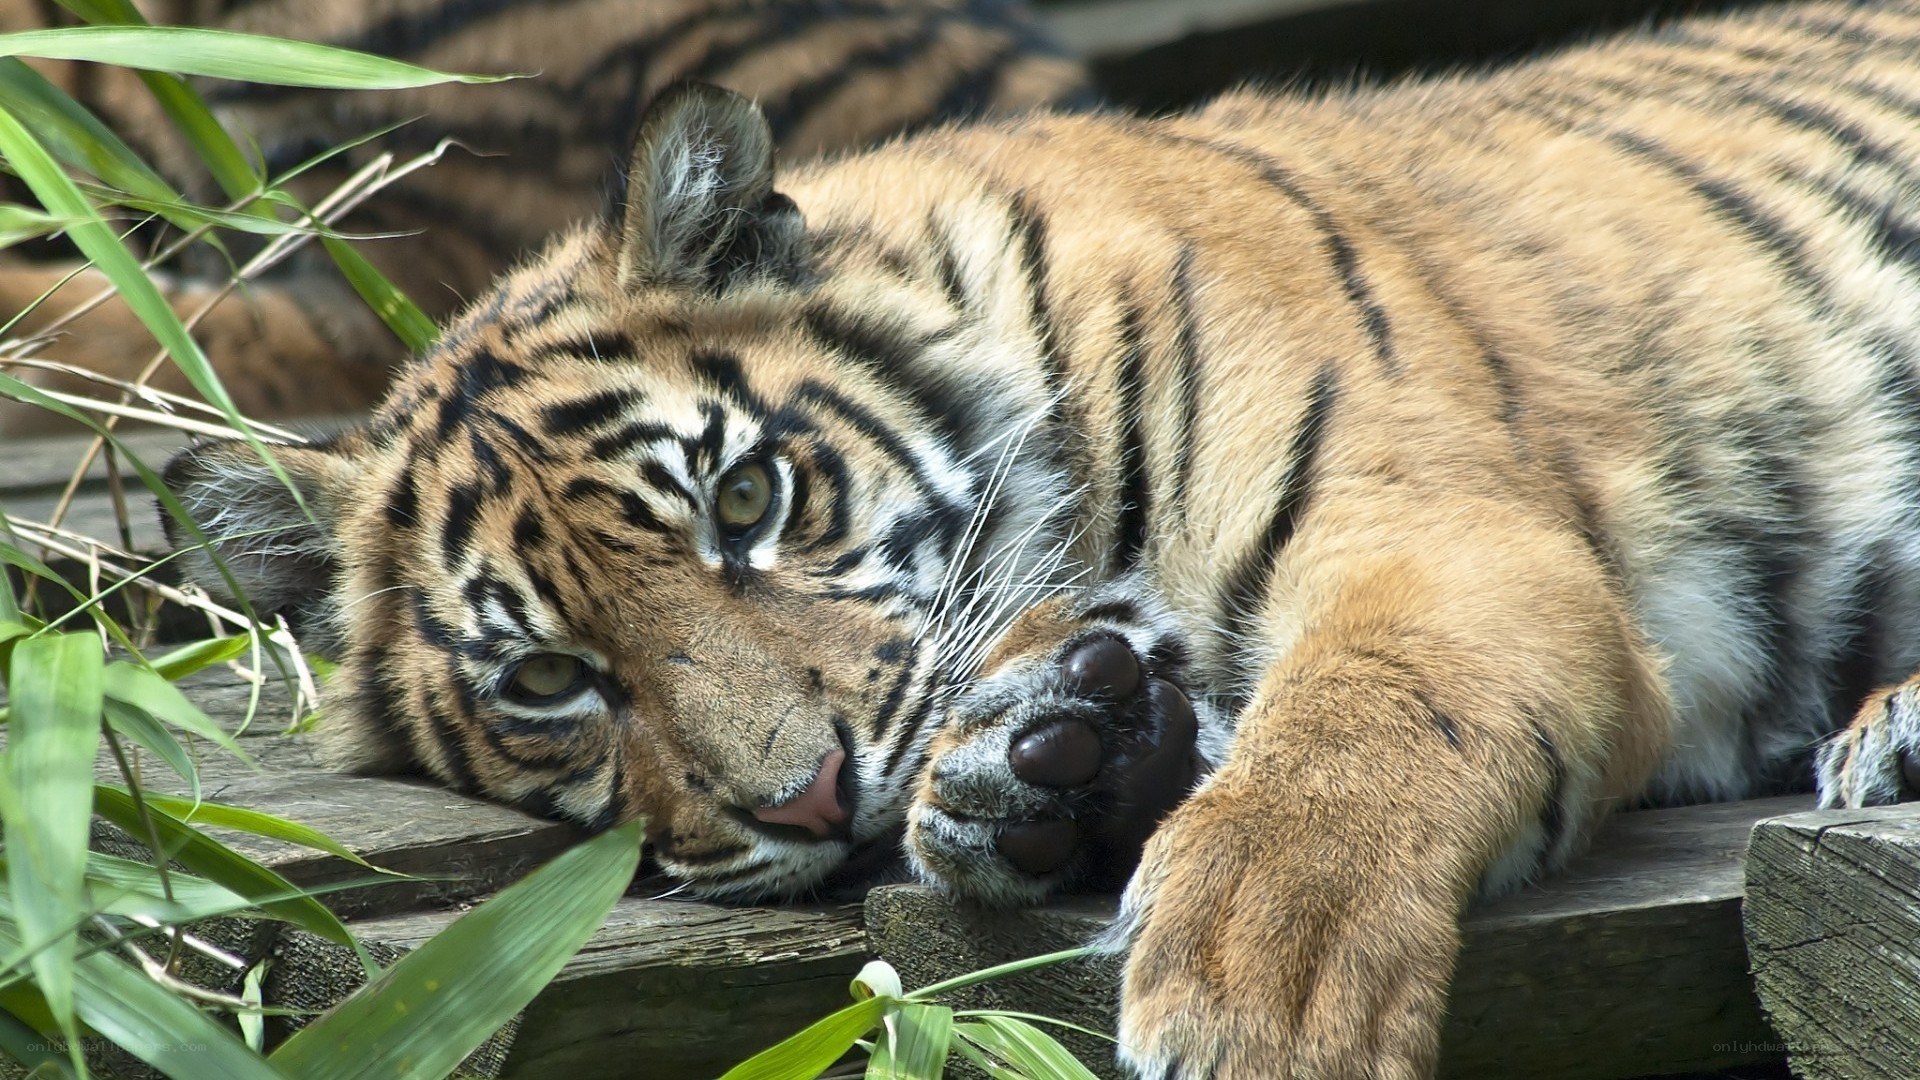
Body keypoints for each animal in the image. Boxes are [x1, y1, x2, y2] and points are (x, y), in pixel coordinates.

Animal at [159, 0, 1920, 1076]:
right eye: (546, 683)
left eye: (748, 502)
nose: (808, 798)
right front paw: (1046, 762)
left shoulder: (1450, 533)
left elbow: (1353, 734)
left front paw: (1257, 992)